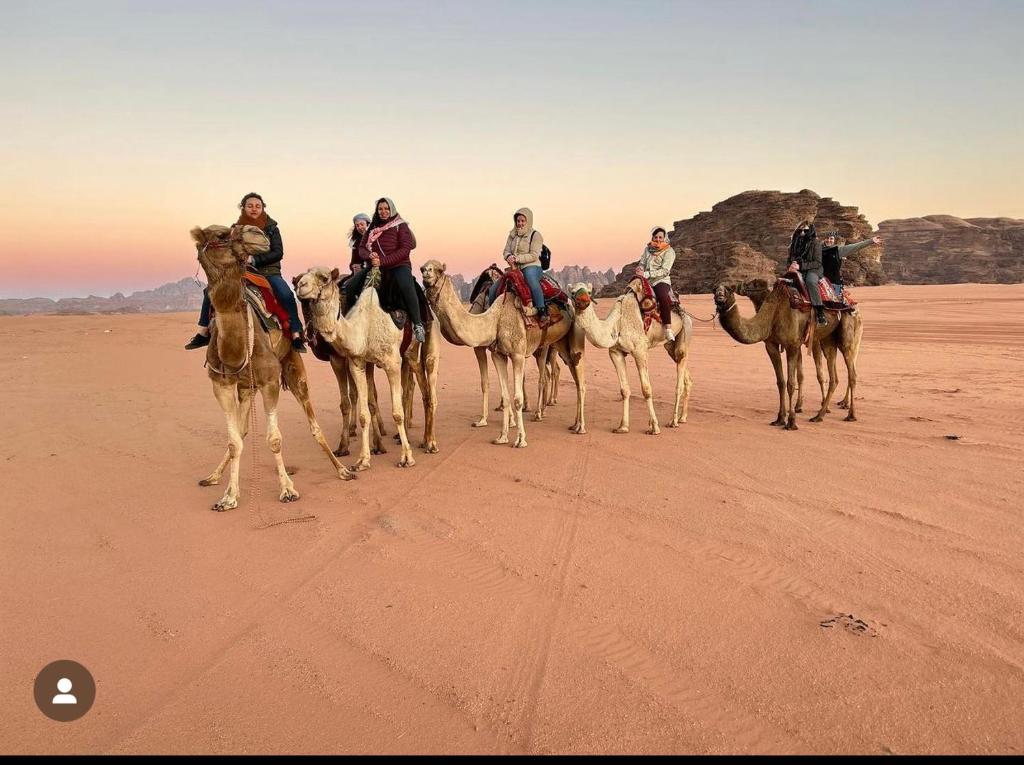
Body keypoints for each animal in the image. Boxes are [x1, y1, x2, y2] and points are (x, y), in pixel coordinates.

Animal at [192, 227, 356, 514]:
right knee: (242, 431)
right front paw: (228, 496)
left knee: (314, 424)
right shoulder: (221, 384)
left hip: (292, 366)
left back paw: (342, 469)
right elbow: (234, 441)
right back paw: (213, 476)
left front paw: (288, 489)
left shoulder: (270, 380)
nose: (256, 233)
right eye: (221, 234)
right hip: (246, 386)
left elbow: (274, 439)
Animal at [292, 268, 436, 473]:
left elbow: (397, 413)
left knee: (424, 392)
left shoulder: (392, 363)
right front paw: (362, 460)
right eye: (300, 280)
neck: (363, 329)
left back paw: (429, 442)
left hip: (413, 350)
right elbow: (364, 413)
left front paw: (406, 458)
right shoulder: (358, 363)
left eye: (324, 278)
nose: (300, 286)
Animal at [421, 260, 585, 446]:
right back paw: (568, 422)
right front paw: (502, 436)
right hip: (555, 344)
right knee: (566, 377)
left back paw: (572, 424)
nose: (425, 272)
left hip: (565, 339)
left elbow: (517, 398)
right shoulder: (497, 355)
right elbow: (505, 396)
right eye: (423, 267)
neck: (494, 318)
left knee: (572, 380)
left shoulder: (518, 355)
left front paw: (520, 439)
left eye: (439, 270)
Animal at [569, 280, 696, 436]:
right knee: (685, 374)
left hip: (685, 331)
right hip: (670, 346)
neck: (617, 324)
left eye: (589, 292)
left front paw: (654, 427)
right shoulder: (615, 352)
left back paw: (673, 421)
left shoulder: (640, 350)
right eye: (572, 292)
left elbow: (646, 389)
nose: (583, 301)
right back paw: (682, 417)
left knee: (680, 370)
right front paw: (623, 427)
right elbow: (624, 390)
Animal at [712, 278, 856, 428]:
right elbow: (780, 382)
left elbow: (791, 383)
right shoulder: (771, 346)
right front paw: (780, 418)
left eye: (729, 289)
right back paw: (819, 415)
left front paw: (791, 421)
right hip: (827, 340)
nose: (719, 297)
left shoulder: (792, 345)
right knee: (834, 377)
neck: (774, 313)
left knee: (852, 374)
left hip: (845, 335)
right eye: (714, 289)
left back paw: (850, 415)